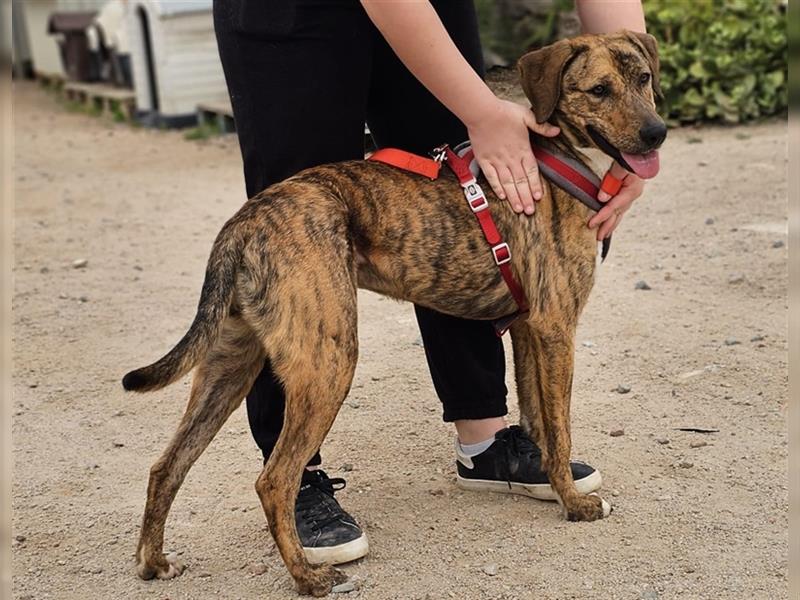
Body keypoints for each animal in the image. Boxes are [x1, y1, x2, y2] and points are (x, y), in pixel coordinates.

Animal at [122, 31, 664, 596]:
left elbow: (537, 417)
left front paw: (544, 477)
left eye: (643, 78)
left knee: (166, 466)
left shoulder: (527, 329)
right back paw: (309, 576)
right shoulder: (556, 328)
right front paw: (575, 504)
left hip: (230, 365)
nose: (658, 134)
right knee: (274, 480)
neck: (559, 158)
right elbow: (560, 429)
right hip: (327, 362)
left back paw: (154, 562)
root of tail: (243, 222)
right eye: (599, 90)